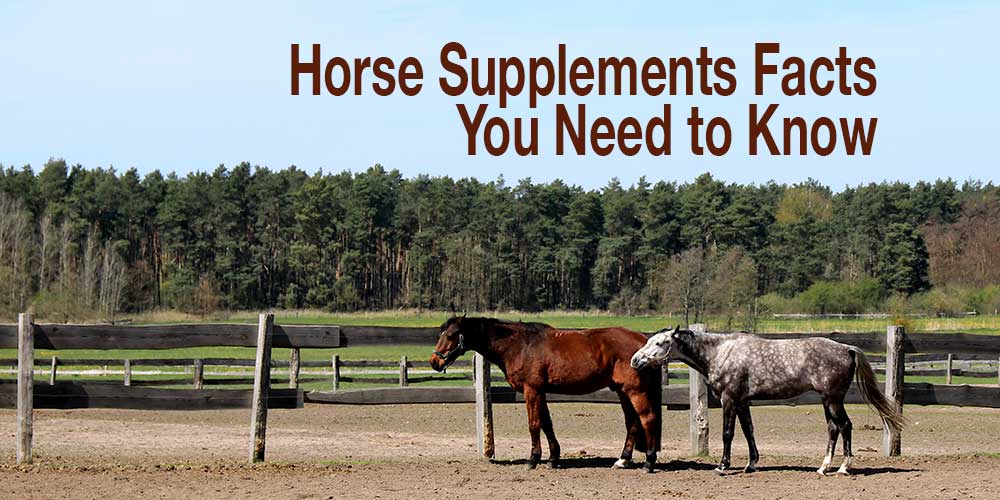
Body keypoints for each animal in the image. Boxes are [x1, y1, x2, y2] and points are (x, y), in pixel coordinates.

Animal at [429, 316, 662, 472]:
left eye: (450, 335)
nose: (434, 361)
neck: (520, 345)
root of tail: (643, 342)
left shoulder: (531, 390)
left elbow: (534, 424)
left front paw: (533, 459)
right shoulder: (540, 391)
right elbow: (546, 424)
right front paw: (553, 458)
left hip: (635, 391)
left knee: (647, 419)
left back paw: (649, 462)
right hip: (623, 391)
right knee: (632, 423)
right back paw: (622, 460)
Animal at [630, 326, 905, 476]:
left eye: (660, 343)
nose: (635, 360)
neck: (721, 352)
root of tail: (847, 348)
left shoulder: (729, 399)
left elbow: (728, 434)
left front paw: (723, 466)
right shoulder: (743, 402)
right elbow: (749, 431)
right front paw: (751, 464)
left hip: (833, 398)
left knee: (845, 426)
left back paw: (843, 468)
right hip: (828, 400)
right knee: (834, 428)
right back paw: (823, 466)